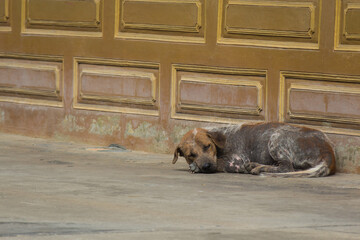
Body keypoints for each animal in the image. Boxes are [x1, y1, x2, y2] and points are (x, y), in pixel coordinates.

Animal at [173, 123, 336, 177]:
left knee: (286, 167)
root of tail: (329, 152)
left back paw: (257, 167)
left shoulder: (236, 162)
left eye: (207, 146)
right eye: (190, 155)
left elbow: (220, 163)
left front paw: (195, 167)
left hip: (276, 136)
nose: (206, 166)